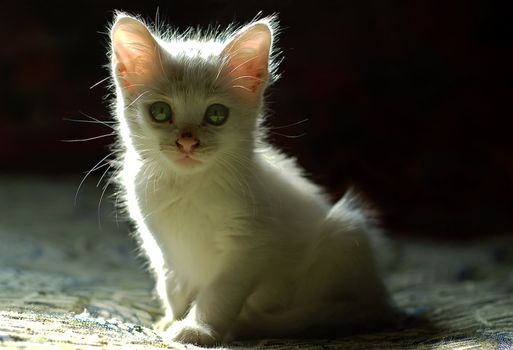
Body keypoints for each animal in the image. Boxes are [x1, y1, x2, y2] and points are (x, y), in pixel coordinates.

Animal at [108, 11, 394, 348]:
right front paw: (170, 320)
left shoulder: (250, 246)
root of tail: (382, 300)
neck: (189, 188)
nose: (187, 142)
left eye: (216, 114)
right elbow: (174, 288)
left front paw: (197, 330)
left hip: (344, 233)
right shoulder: (161, 248)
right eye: (161, 112)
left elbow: (218, 295)